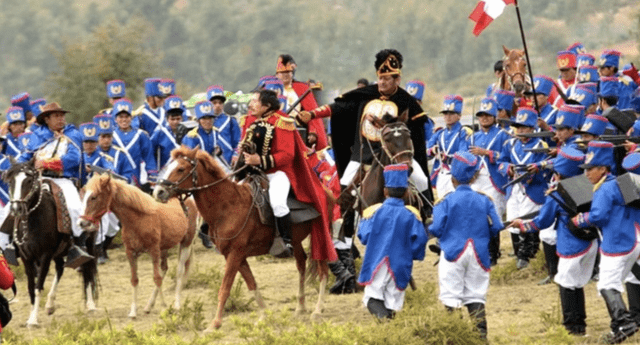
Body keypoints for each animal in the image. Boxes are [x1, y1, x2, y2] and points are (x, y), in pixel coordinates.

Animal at [2, 159, 97, 326]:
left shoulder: (45, 255)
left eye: (29, 180)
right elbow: (31, 286)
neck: (33, 221)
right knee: (60, 268)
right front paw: (31, 316)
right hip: (59, 252)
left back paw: (91, 304)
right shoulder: (27, 257)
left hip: (88, 245)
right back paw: (50, 304)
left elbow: (38, 285)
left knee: (87, 269)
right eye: (11, 181)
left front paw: (33, 320)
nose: (16, 208)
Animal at [75, 173, 195, 318]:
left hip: (186, 243)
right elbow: (135, 280)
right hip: (165, 248)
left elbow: (157, 278)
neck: (139, 219)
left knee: (179, 272)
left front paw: (164, 308)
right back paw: (149, 306)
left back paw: (176, 304)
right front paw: (133, 311)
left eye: (94, 197)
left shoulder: (154, 251)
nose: (81, 223)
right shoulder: (131, 252)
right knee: (165, 269)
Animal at [151, 147, 330, 330]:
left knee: (323, 271)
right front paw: (264, 316)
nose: (158, 192)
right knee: (301, 264)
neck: (227, 206)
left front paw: (215, 324)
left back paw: (318, 309)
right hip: (296, 241)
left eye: (181, 169)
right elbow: (252, 284)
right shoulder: (236, 256)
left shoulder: (235, 254)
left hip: (321, 237)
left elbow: (225, 288)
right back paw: (301, 306)